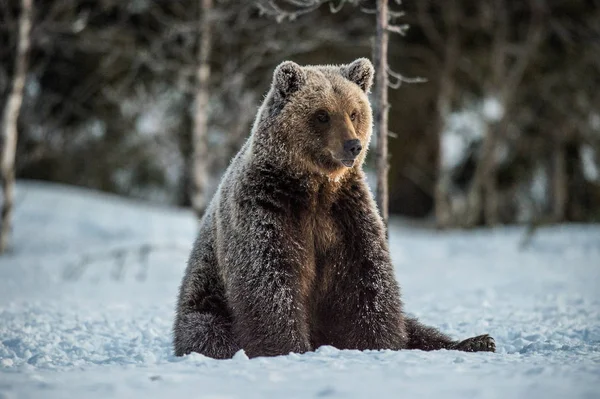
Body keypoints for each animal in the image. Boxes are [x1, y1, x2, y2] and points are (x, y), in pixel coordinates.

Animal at [171, 58, 494, 360]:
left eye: (354, 112)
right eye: (322, 114)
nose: (353, 145)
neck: (316, 188)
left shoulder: (346, 215)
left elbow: (367, 281)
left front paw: (378, 343)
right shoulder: (266, 209)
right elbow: (270, 280)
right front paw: (286, 347)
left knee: (415, 327)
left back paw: (476, 341)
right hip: (205, 302)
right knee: (209, 332)